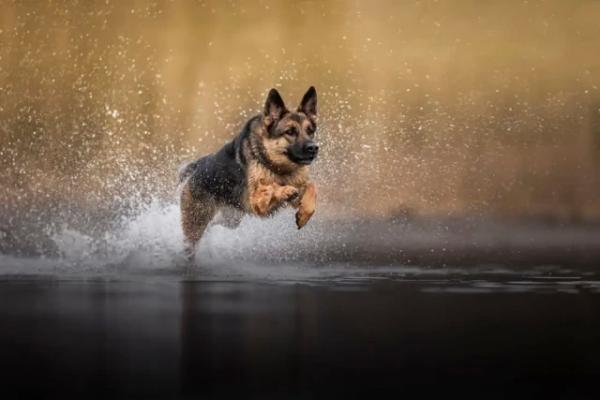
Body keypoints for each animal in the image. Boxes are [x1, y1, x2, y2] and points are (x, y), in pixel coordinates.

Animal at [178, 86, 318, 258]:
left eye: (310, 131)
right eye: (290, 132)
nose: (314, 148)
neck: (276, 166)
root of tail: (196, 168)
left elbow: (312, 187)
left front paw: (304, 215)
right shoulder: (256, 202)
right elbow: (271, 187)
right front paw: (285, 190)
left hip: (231, 220)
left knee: (214, 224)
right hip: (196, 224)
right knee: (191, 244)